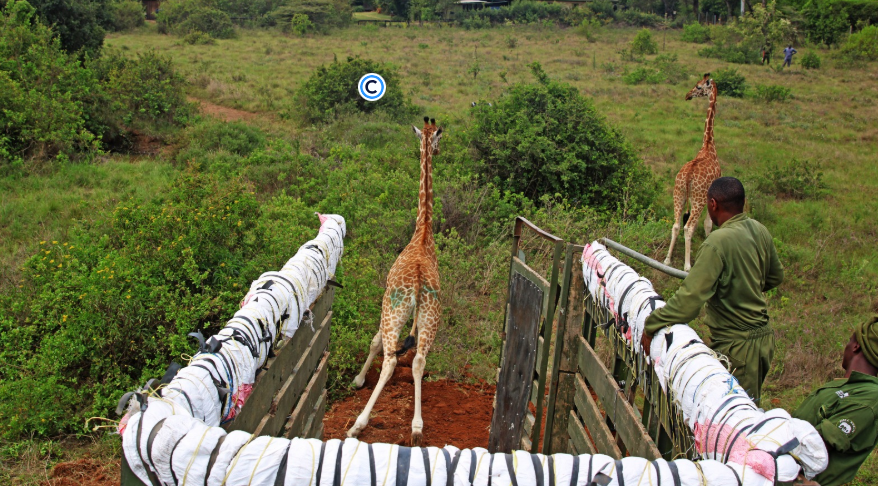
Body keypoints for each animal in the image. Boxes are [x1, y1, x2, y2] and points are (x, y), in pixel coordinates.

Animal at [348, 117, 443, 446]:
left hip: (395, 310)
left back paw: (357, 425)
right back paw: (416, 429)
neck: (423, 232)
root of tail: (418, 283)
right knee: (418, 361)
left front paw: (357, 380)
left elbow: (375, 341)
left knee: (390, 360)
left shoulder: (385, 303)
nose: (438, 151)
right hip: (430, 317)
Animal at [663, 73, 722, 272]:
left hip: (679, 194)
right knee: (687, 228)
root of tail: (688, 177)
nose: (687, 95)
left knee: (676, 225)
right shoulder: (710, 197)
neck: (708, 145)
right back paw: (687, 266)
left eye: (698, 87)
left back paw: (667, 260)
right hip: (697, 199)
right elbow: (707, 224)